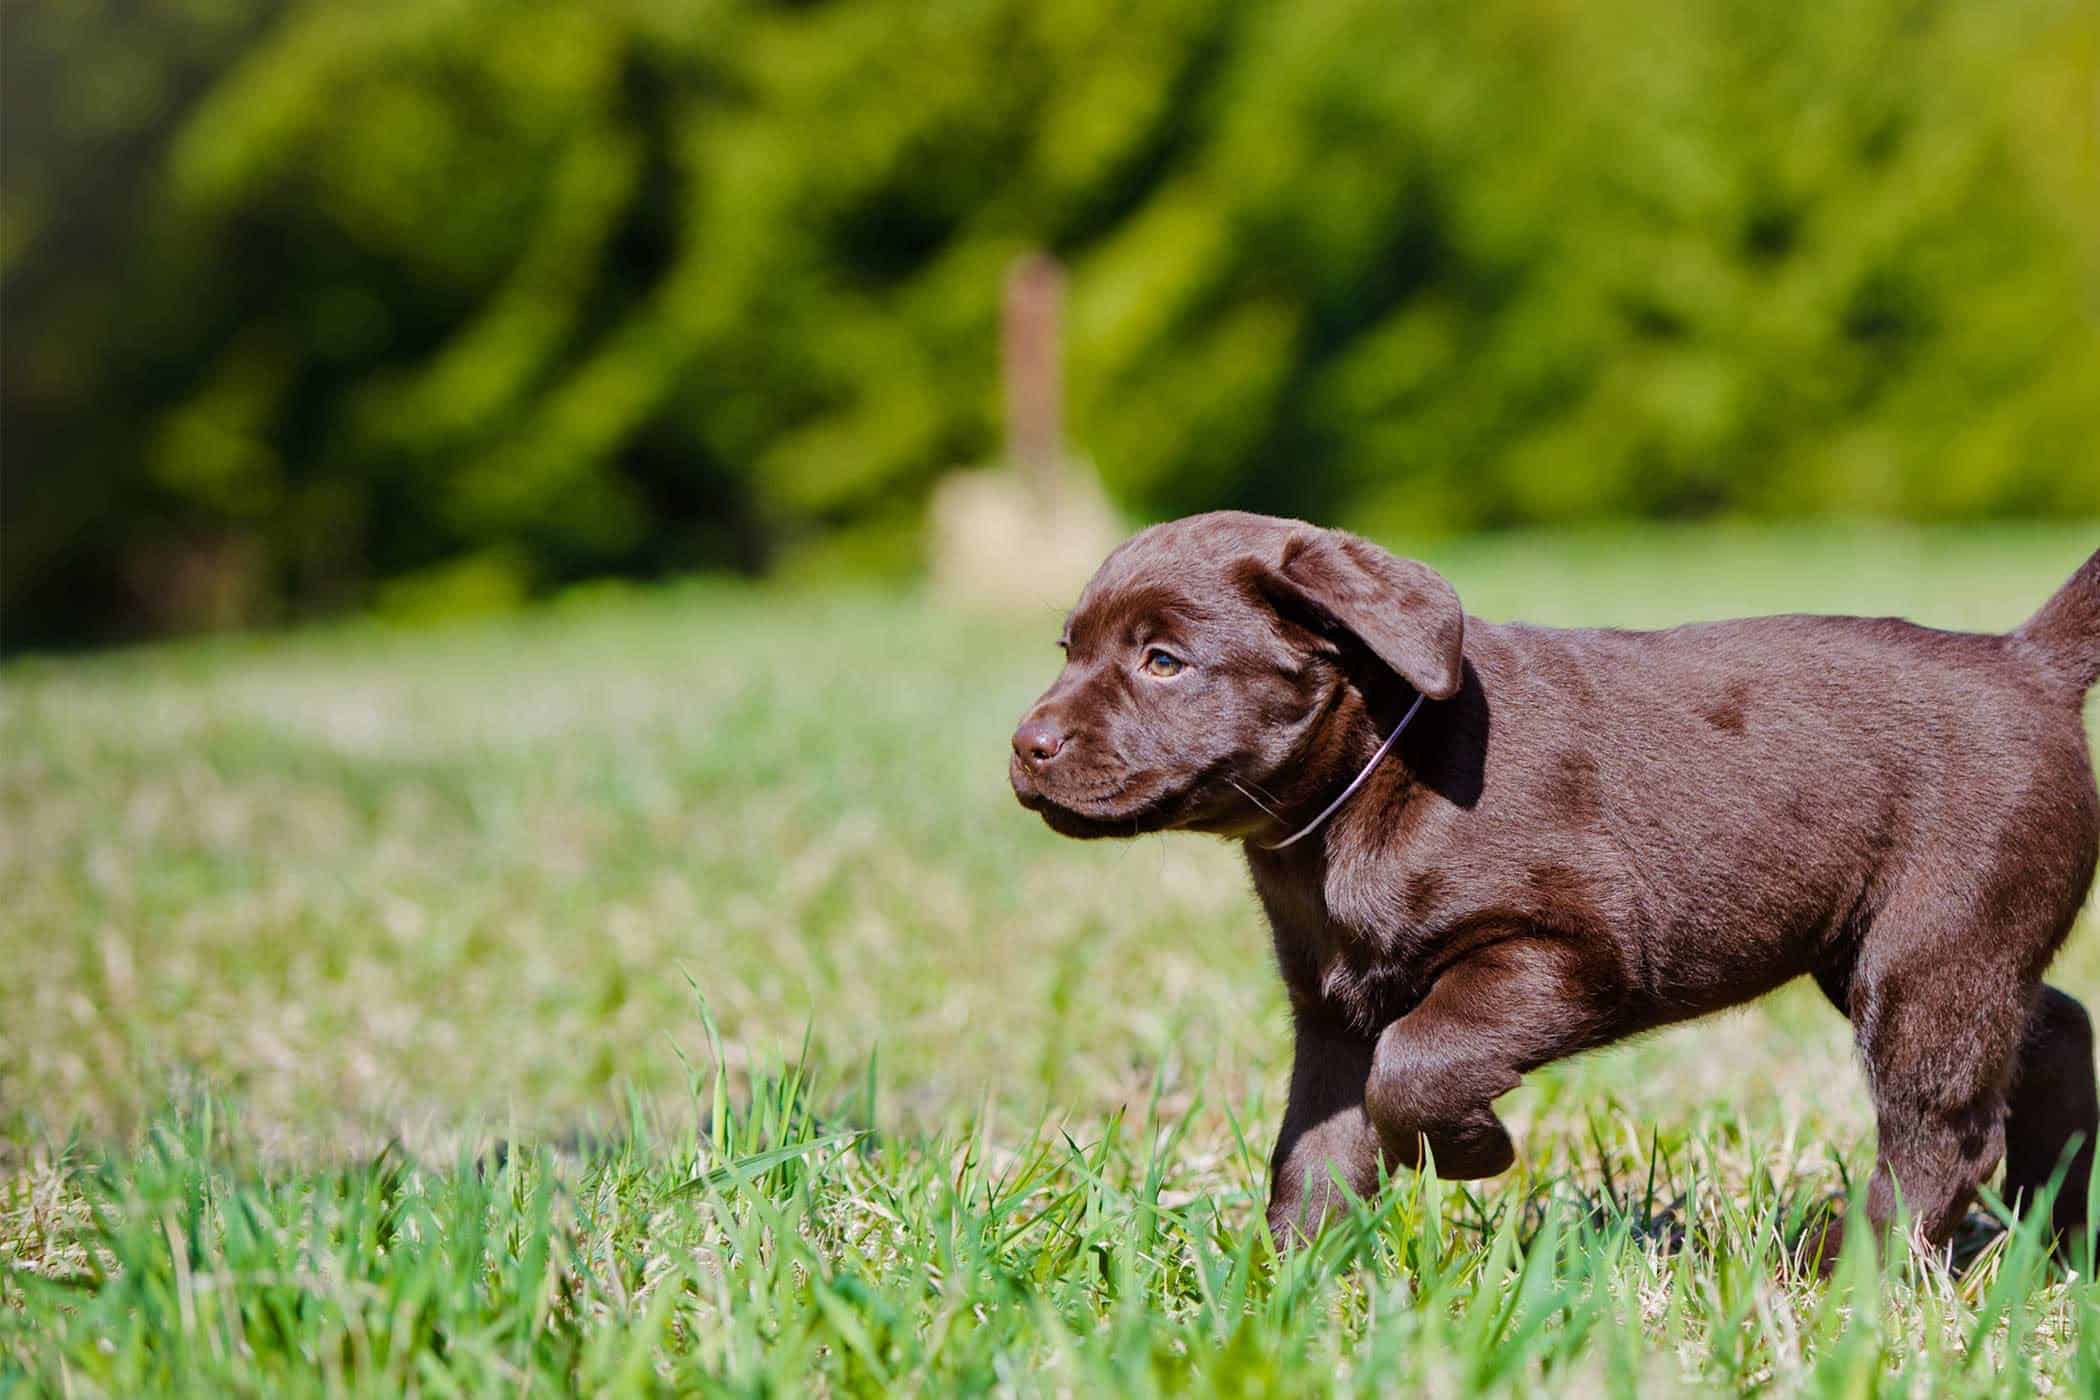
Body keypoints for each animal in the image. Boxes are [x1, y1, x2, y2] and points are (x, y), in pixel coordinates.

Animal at [1007, 514, 2100, 1259]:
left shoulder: (1568, 948)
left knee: (1946, 1131)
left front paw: (1473, 1151)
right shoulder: (1332, 1010)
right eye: (1069, 650)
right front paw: (1287, 1282)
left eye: (1164, 660)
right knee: (2050, 1029)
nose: (1026, 745)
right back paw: (2060, 1225)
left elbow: (1418, 1063)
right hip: (1909, 944)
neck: (1366, 783)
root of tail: (2028, 662)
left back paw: (1844, 1275)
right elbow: (1316, 1146)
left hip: (1928, 949)